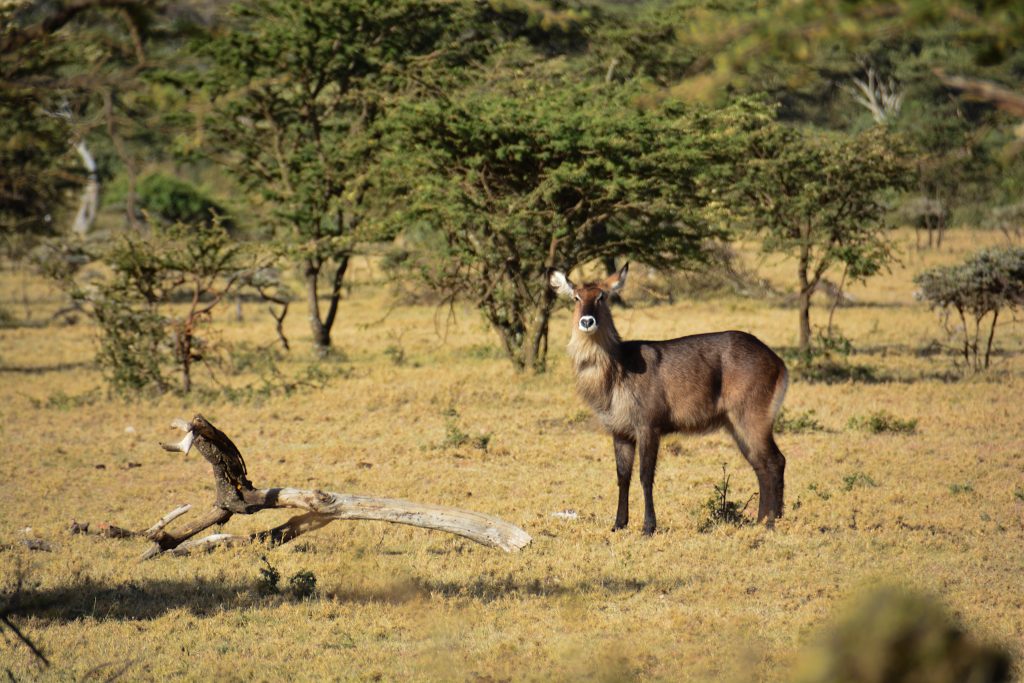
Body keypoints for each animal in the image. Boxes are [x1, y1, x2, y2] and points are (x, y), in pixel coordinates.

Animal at [548, 264, 786, 536]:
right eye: (576, 297)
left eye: (602, 296)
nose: (587, 321)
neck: (617, 368)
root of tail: (776, 359)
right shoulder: (620, 432)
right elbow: (622, 477)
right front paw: (619, 524)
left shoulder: (648, 427)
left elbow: (645, 476)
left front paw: (648, 527)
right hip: (736, 425)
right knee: (760, 466)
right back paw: (759, 521)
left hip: (752, 418)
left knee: (775, 461)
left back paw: (772, 522)